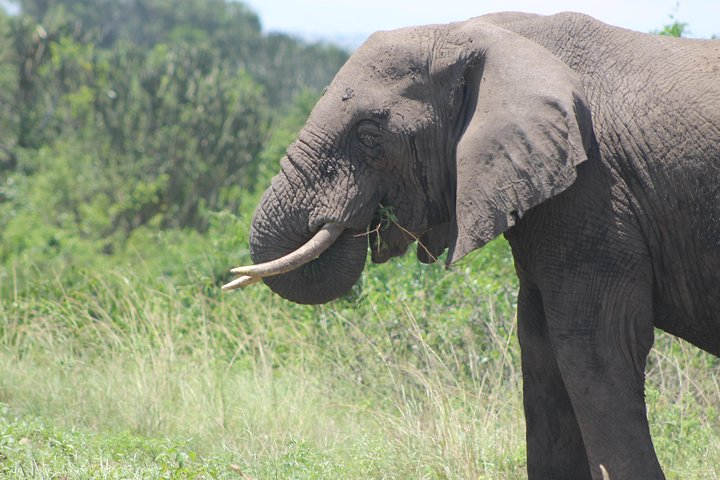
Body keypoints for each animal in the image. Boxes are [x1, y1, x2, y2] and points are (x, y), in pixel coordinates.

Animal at [222, 10, 716, 480]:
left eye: (369, 133)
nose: (356, 219)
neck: (477, 31)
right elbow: (540, 348)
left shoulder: (596, 191)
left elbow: (595, 344)